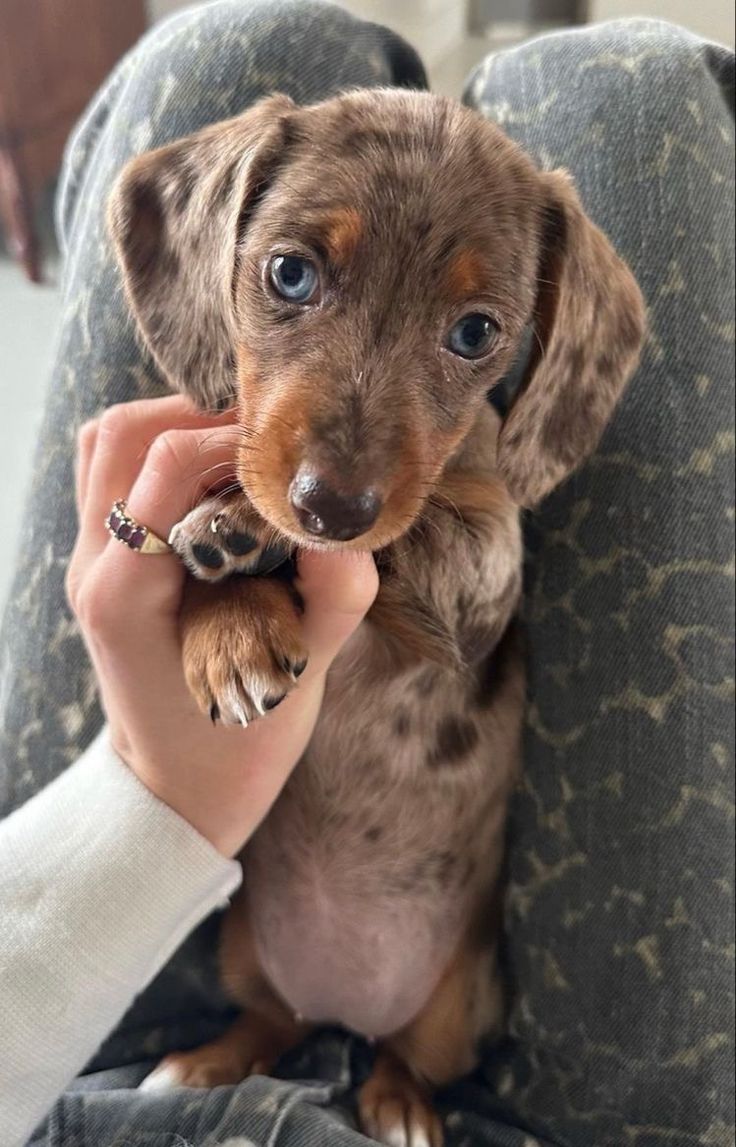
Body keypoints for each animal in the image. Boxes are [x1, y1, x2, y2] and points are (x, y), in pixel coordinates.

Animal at [108, 89, 641, 1147]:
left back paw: (397, 1105)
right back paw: (202, 1062)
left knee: (405, 1057)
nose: (331, 506)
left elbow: (414, 534)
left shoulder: (483, 574)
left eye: (476, 333)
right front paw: (231, 609)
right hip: (245, 952)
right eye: (290, 273)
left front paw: (241, 524)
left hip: (457, 1003)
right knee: (270, 1021)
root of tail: (341, 1008)